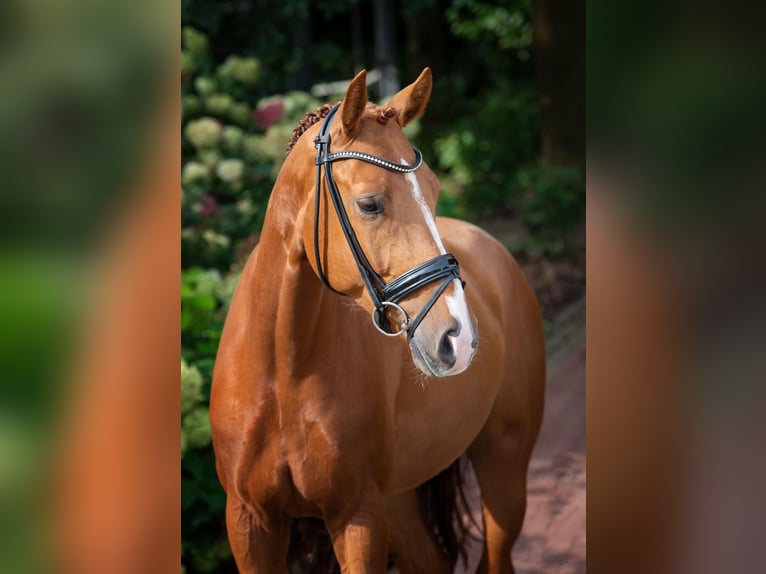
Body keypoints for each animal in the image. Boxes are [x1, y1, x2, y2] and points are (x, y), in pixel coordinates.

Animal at [210, 70, 544, 572]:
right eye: (369, 204)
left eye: (434, 190)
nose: (459, 339)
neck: (281, 371)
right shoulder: (249, 521)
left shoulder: (357, 516)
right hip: (400, 500)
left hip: (503, 469)